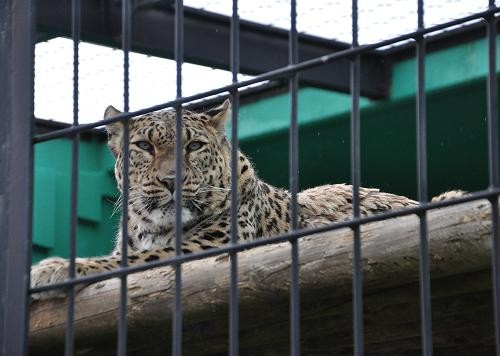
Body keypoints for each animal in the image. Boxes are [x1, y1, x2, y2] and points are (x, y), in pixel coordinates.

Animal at [30, 99, 426, 298]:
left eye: (193, 146)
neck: (150, 228)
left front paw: (52, 270)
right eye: (144, 146)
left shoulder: (210, 246)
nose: (171, 180)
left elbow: (137, 260)